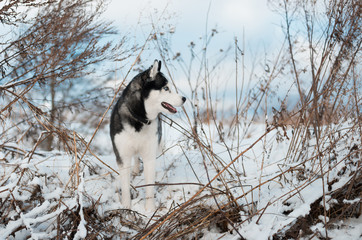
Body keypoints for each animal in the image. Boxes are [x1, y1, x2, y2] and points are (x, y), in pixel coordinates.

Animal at [109, 60, 184, 212]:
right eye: (166, 88)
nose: (184, 98)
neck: (139, 120)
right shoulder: (123, 156)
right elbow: (125, 185)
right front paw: (126, 206)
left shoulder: (149, 155)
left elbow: (150, 185)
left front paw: (149, 210)